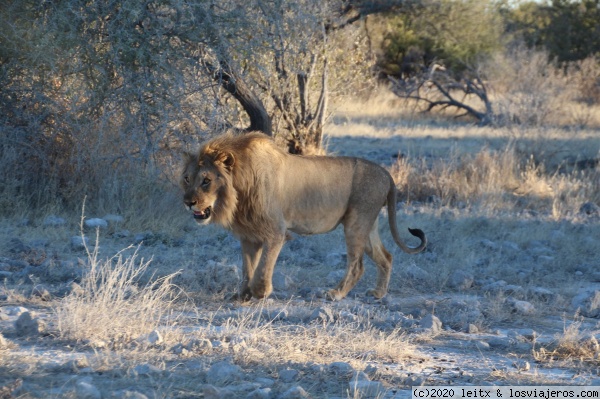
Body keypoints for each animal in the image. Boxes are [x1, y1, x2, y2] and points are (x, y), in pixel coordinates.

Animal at [179, 133, 426, 302]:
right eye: (187, 178)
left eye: (206, 180)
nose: (188, 202)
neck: (238, 191)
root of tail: (386, 174)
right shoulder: (248, 235)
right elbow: (247, 269)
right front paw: (242, 295)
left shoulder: (276, 232)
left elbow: (262, 268)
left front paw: (260, 292)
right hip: (368, 225)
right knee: (386, 256)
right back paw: (378, 293)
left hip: (357, 223)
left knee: (357, 265)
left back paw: (336, 293)